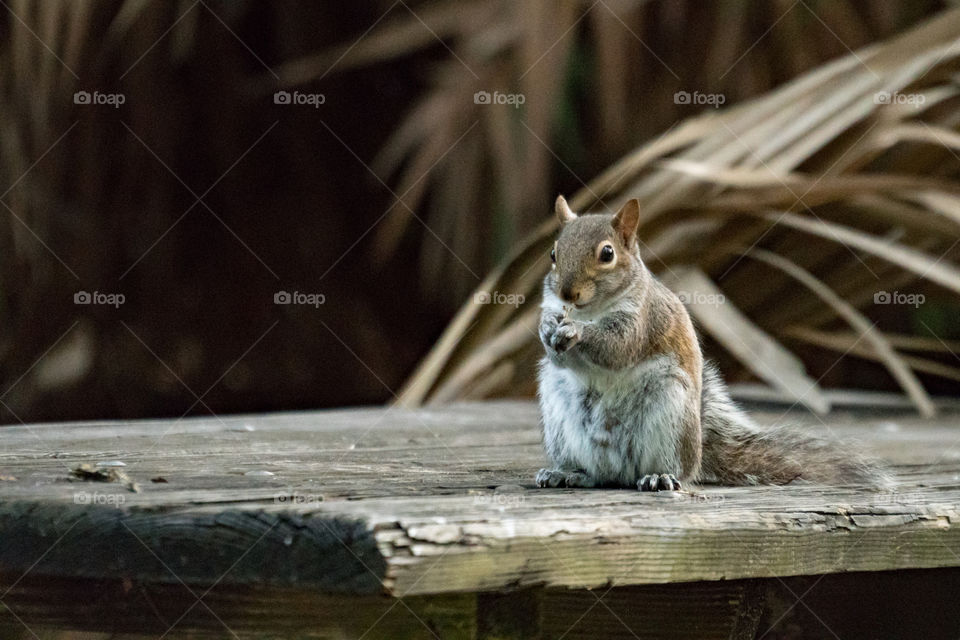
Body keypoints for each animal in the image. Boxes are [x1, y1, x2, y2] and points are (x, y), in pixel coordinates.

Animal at [536, 195, 888, 490]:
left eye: (607, 254)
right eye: (553, 253)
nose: (567, 293)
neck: (589, 311)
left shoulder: (645, 319)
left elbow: (617, 348)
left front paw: (577, 332)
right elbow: (557, 350)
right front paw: (547, 328)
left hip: (671, 413)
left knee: (674, 471)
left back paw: (660, 477)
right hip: (558, 413)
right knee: (595, 473)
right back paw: (566, 473)